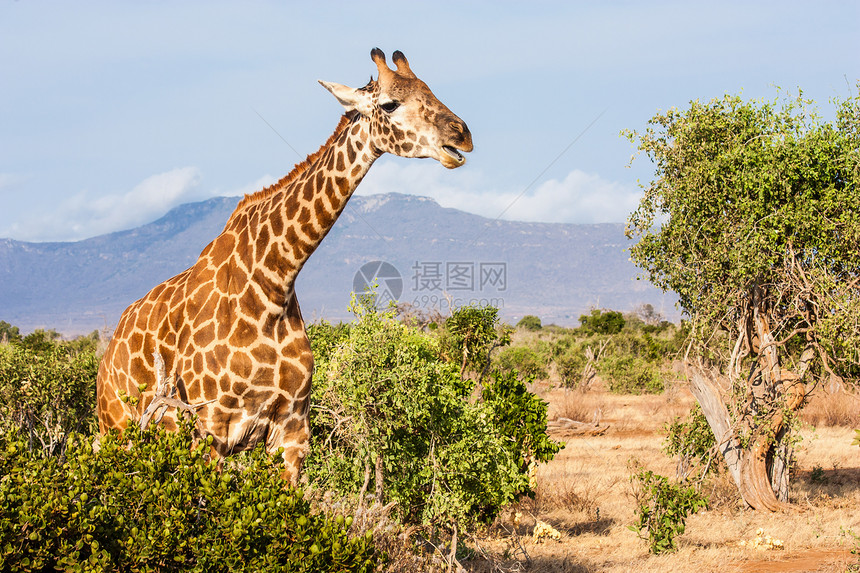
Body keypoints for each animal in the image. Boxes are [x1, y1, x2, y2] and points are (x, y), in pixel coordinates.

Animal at [97, 49, 474, 480]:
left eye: (430, 88)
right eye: (390, 104)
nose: (462, 134)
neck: (275, 280)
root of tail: (107, 353)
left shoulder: (292, 430)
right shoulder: (208, 430)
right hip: (117, 430)